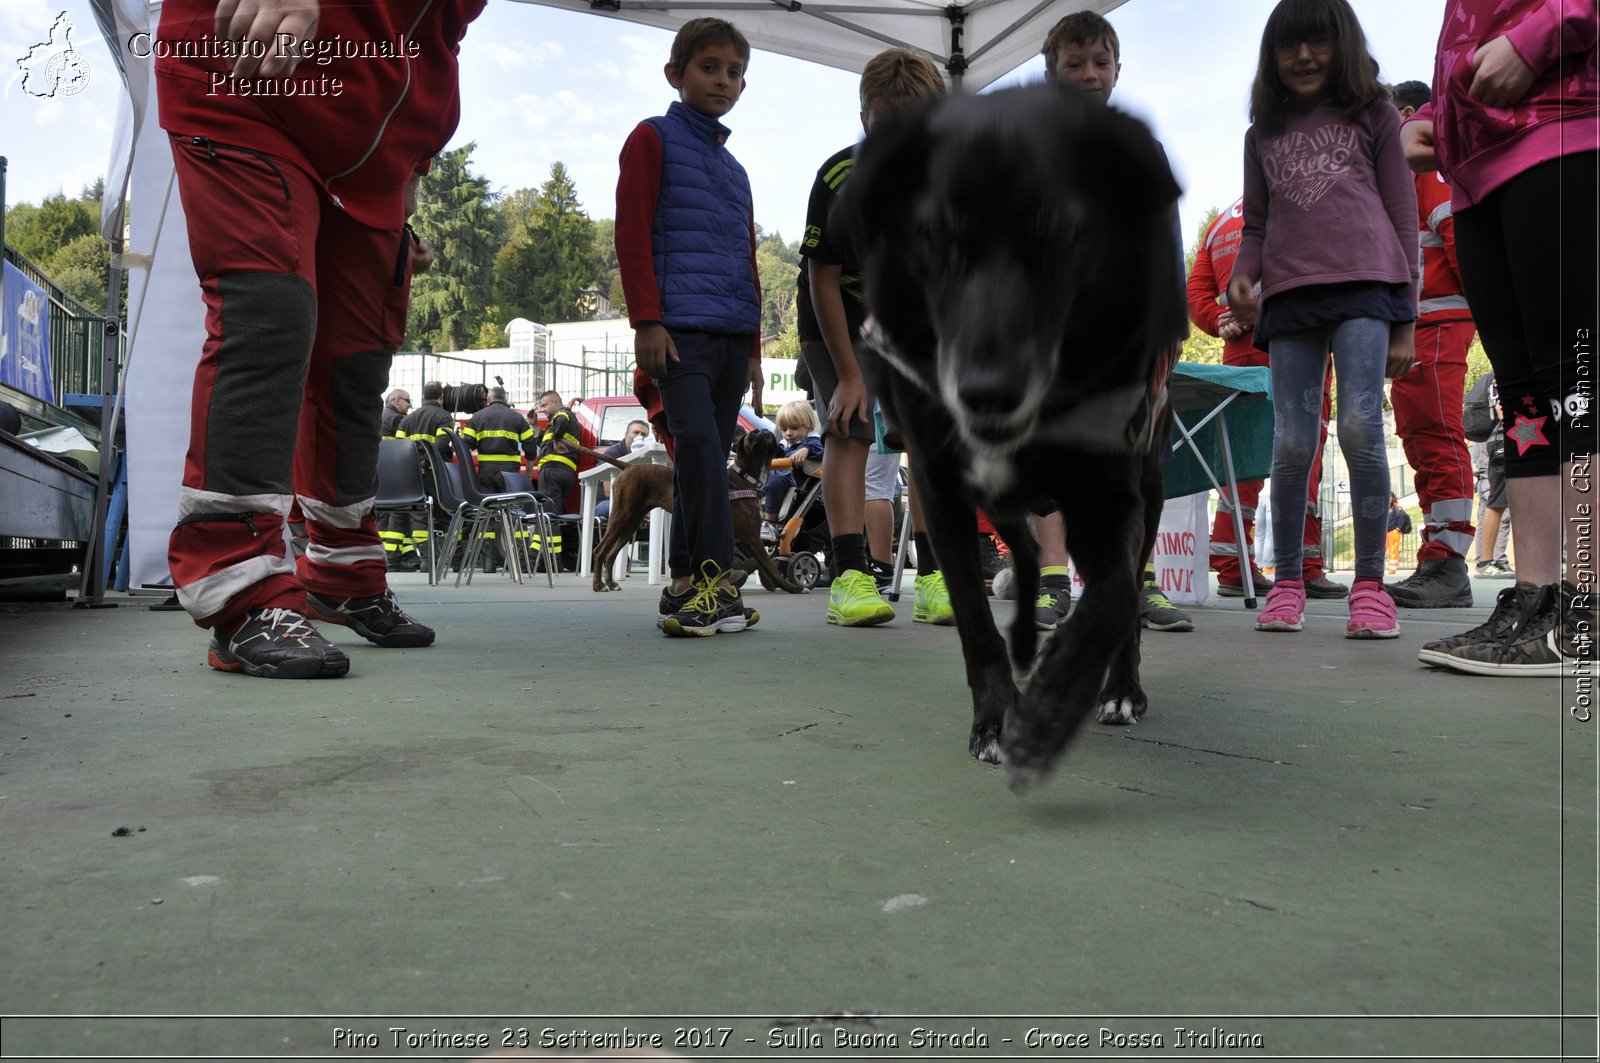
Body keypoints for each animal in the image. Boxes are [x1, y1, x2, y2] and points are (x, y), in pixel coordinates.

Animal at [585, 429, 800, 592]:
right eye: (752, 435)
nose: (763, 430)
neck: (744, 478)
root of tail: (628, 465)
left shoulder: (746, 539)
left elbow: (762, 563)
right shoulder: (751, 536)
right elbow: (768, 562)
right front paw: (791, 586)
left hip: (631, 524)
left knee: (611, 553)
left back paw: (610, 583)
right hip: (621, 517)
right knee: (600, 550)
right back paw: (598, 585)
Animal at [838, 85, 1190, 787]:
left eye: (1063, 233)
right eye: (934, 234)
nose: (986, 391)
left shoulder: (1112, 498)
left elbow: (1114, 598)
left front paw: (1054, 705)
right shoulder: (941, 491)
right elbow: (976, 620)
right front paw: (997, 718)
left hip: (1152, 485)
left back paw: (1119, 688)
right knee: (1023, 555)